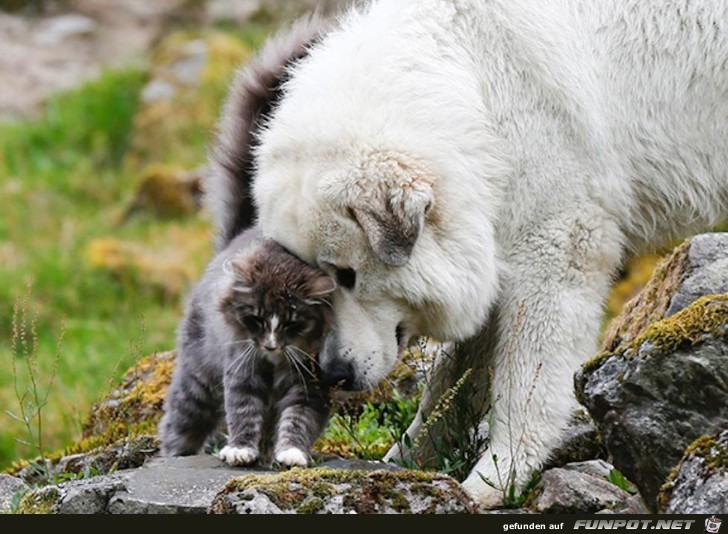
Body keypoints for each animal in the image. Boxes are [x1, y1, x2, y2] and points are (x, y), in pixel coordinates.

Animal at [159, 230, 336, 468]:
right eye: (257, 319)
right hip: (197, 388)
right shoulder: (242, 370)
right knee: (179, 427)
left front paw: (291, 453)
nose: (270, 345)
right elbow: (243, 411)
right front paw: (240, 450)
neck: (274, 361)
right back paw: (174, 456)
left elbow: (298, 419)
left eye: (290, 323)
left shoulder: (309, 383)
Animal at [208, 0, 728, 508]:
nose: (334, 373)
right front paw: (411, 458)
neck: (474, 88)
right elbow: (453, 378)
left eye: (348, 275)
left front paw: (496, 478)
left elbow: (525, 378)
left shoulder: (556, 240)